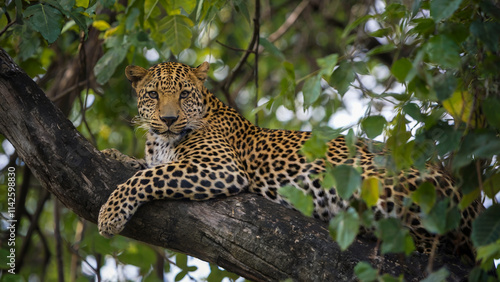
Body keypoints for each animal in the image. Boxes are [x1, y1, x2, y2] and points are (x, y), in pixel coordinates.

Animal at [96, 61, 480, 258]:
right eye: (152, 94)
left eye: (184, 94)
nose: (169, 119)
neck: (160, 139)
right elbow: (145, 167)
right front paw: (111, 154)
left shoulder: (220, 168)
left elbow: (147, 177)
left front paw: (110, 215)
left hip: (379, 181)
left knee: (432, 240)